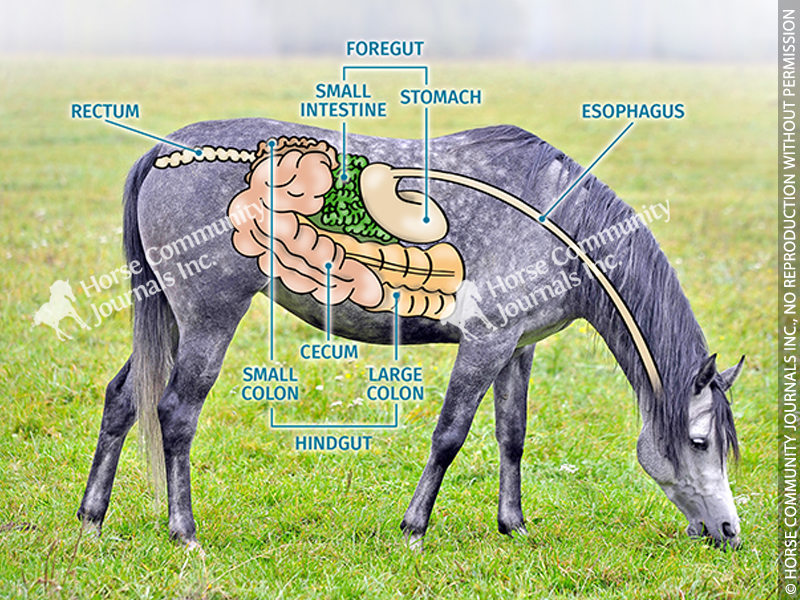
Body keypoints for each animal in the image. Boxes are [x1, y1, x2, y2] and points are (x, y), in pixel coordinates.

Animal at [77, 119, 745, 551]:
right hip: (209, 318)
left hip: (167, 316)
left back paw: (92, 520)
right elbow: (450, 435)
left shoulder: (518, 348)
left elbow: (512, 436)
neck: (566, 226)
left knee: (122, 400)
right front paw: (414, 529)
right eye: (701, 442)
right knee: (175, 413)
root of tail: (165, 154)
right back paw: (184, 532)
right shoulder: (486, 342)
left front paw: (514, 525)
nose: (729, 533)